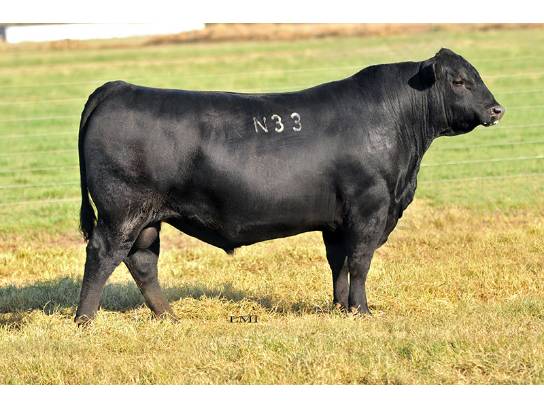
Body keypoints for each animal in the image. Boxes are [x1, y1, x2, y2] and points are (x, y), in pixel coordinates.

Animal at [75, 48, 504, 324]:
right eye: (459, 81)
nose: (497, 109)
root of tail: (119, 87)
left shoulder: (338, 221)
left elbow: (340, 263)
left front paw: (340, 308)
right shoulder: (369, 209)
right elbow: (360, 261)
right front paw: (362, 311)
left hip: (146, 219)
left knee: (142, 261)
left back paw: (169, 317)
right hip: (121, 211)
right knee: (103, 255)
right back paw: (85, 320)